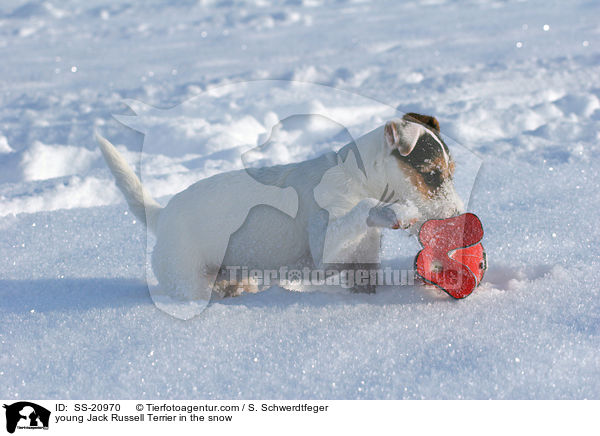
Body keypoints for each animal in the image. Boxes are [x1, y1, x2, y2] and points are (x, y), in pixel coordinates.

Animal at [97, 113, 464, 300]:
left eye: (452, 172)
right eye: (432, 175)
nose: (460, 219)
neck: (355, 176)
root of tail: (162, 216)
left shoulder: (362, 266)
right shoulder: (325, 246)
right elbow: (364, 208)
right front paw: (397, 212)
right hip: (187, 279)